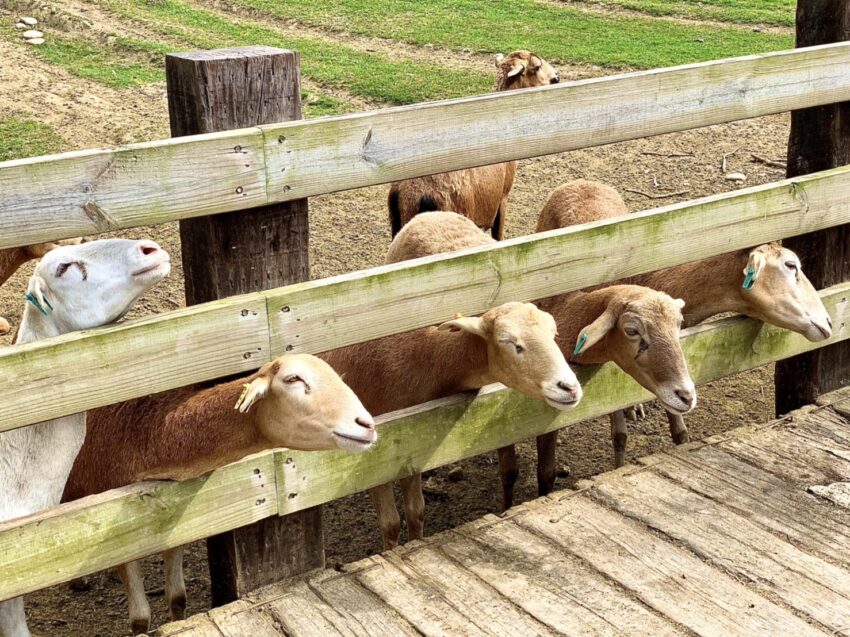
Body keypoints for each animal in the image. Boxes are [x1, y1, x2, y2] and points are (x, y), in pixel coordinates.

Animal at [63, 352, 374, 632]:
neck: (146, 435)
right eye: (293, 379)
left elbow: (177, 597)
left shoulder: (172, 519)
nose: (367, 425)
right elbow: (140, 617)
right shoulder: (115, 537)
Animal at [532, 179, 832, 486]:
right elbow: (619, 434)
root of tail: (580, 182)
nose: (829, 322)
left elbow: (679, 430)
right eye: (791, 266)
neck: (656, 277)